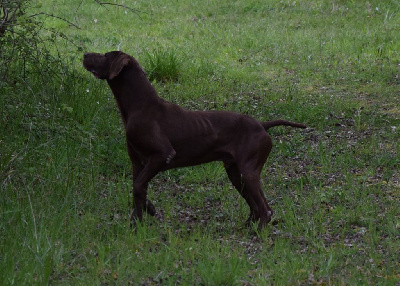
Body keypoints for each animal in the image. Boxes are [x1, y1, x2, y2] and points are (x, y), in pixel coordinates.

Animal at [83, 51, 304, 230]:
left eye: (105, 55)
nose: (84, 53)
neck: (139, 105)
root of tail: (262, 124)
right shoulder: (138, 163)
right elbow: (138, 191)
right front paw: (140, 220)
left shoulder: (162, 155)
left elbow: (137, 187)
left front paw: (145, 216)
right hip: (235, 173)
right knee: (256, 207)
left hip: (248, 172)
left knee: (265, 209)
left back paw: (257, 232)